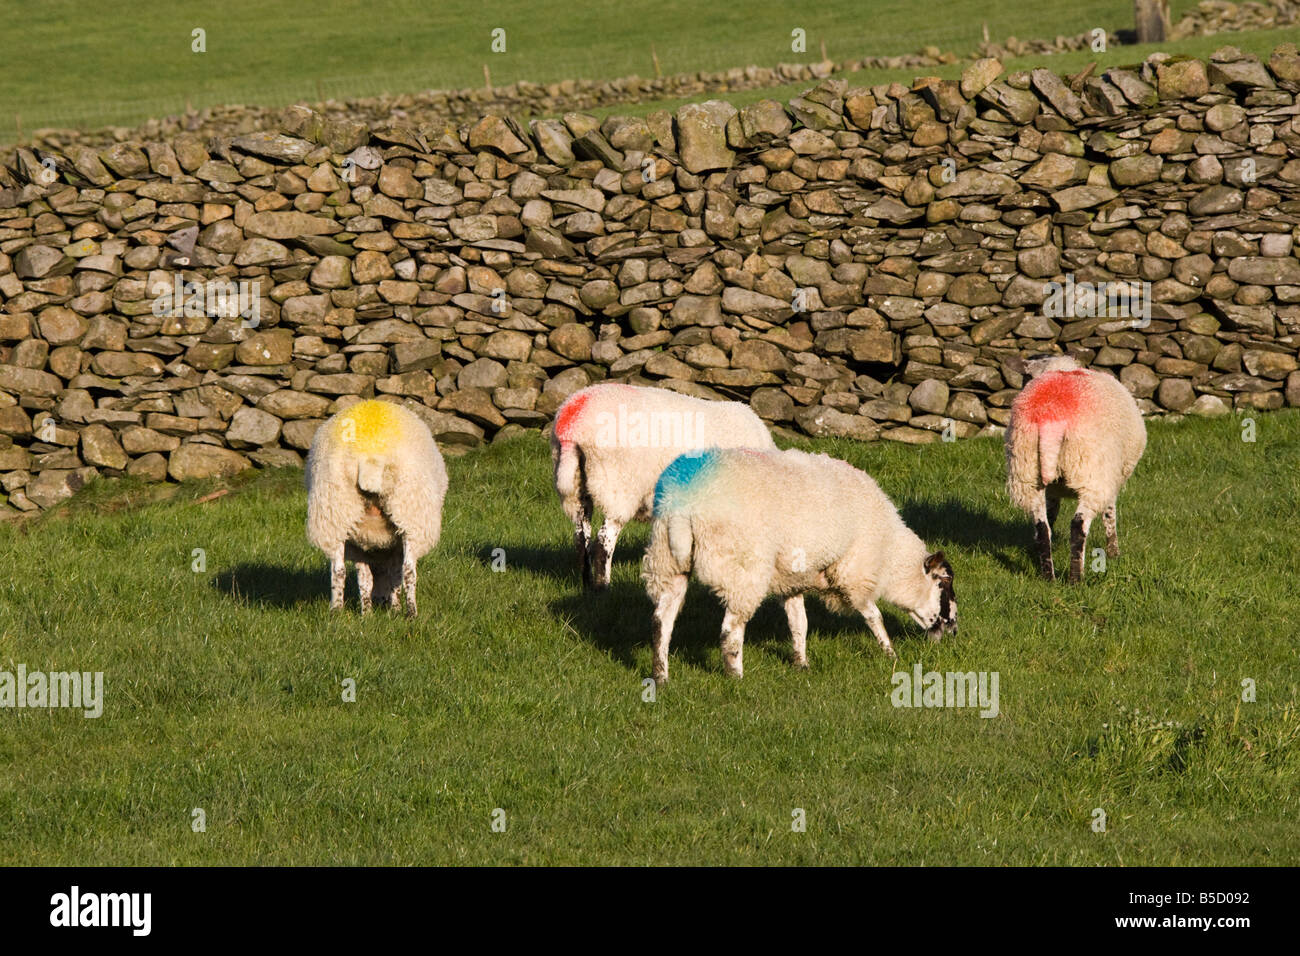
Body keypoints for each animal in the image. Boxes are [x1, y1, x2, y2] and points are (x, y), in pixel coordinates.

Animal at [306, 400, 449, 616]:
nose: (380, 601)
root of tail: (369, 457)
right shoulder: (393, 544)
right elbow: (395, 575)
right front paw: (394, 608)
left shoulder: (359, 543)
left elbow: (364, 579)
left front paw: (367, 613)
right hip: (410, 514)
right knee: (409, 571)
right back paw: (411, 613)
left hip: (335, 511)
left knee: (337, 570)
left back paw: (337, 610)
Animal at [548, 382, 769, 590]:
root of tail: (572, 425)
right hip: (618, 485)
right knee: (603, 543)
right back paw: (602, 589)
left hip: (576, 488)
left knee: (581, 538)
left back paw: (586, 587)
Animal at [642, 444, 956, 686]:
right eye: (943, 583)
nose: (953, 629)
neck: (888, 551)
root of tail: (682, 503)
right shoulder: (854, 572)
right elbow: (873, 615)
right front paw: (891, 654)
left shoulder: (793, 579)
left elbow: (798, 623)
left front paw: (801, 663)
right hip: (743, 568)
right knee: (730, 629)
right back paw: (736, 677)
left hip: (667, 561)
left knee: (661, 621)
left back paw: (661, 676)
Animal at [1003, 356, 1149, 582]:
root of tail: (1050, 415)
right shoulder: (1110, 476)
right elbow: (1110, 514)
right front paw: (1114, 552)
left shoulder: (1053, 490)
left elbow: (1052, 514)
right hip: (1091, 471)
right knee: (1078, 526)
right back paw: (1076, 579)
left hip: (1026, 471)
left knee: (1042, 527)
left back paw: (1049, 577)